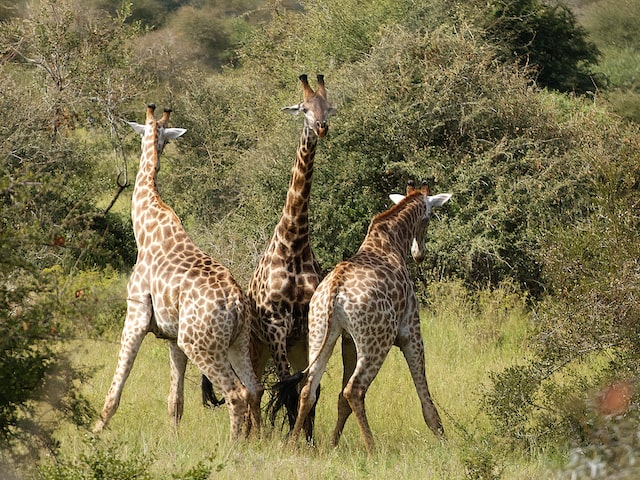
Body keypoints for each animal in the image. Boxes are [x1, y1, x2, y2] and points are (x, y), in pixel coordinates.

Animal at [91, 103, 262, 440]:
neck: (145, 227)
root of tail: (237, 304)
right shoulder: (171, 336)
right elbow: (175, 399)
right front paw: (173, 438)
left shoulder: (136, 315)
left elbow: (117, 384)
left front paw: (96, 428)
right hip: (236, 341)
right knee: (254, 388)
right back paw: (256, 440)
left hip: (199, 343)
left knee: (236, 393)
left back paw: (235, 445)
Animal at [202, 73, 338, 436]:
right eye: (304, 108)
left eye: (329, 107)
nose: (321, 127)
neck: (294, 243)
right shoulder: (277, 326)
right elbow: (285, 389)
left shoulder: (304, 330)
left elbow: (307, 389)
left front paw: (307, 440)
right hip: (254, 345)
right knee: (255, 387)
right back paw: (255, 434)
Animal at [282, 181, 448, 454]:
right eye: (430, 217)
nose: (420, 254)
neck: (391, 242)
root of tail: (335, 289)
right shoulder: (411, 331)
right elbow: (425, 395)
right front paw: (444, 440)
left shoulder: (349, 341)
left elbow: (339, 399)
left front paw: (333, 445)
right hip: (377, 341)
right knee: (355, 389)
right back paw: (372, 450)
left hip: (320, 333)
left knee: (308, 388)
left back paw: (294, 445)